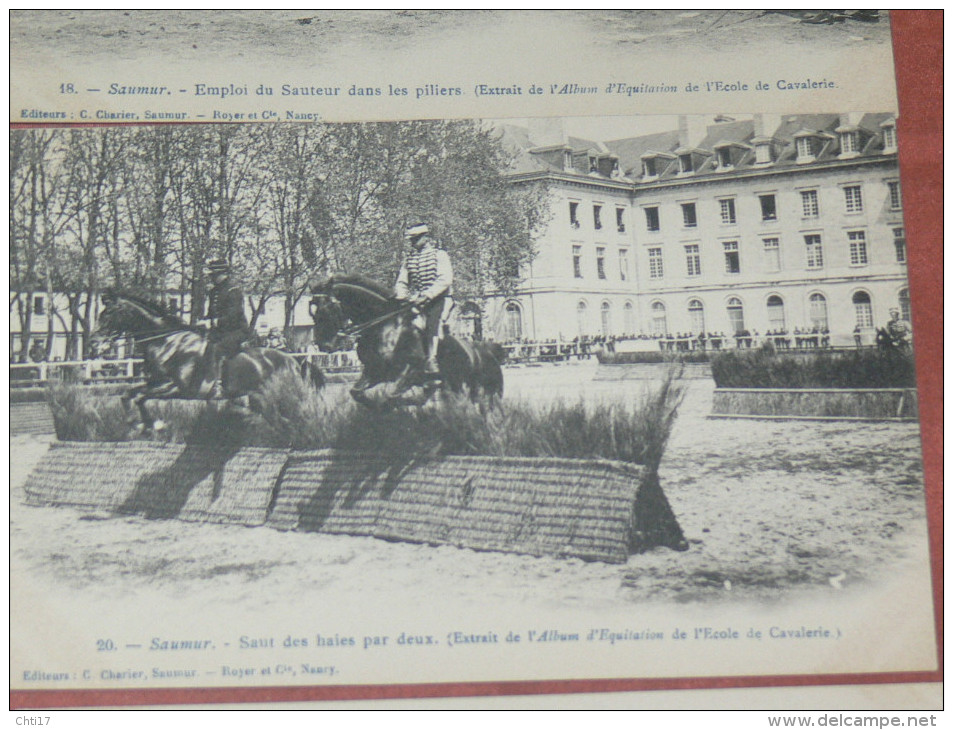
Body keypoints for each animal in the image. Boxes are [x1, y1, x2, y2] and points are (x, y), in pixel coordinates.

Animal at [93, 288, 324, 432]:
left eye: (109, 313)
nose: (96, 343)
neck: (167, 341)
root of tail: (295, 362)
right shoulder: (156, 382)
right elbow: (130, 395)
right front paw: (143, 425)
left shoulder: (176, 387)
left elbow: (139, 396)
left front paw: (146, 424)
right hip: (259, 400)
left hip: (271, 399)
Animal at [312, 274, 506, 410]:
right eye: (312, 311)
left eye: (328, 307)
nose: (324, 344)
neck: (385, 326)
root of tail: (487, 351)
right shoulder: (375, 371)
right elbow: (357, 393)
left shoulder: (411, 371)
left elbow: (392, 397)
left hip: (486, 393)